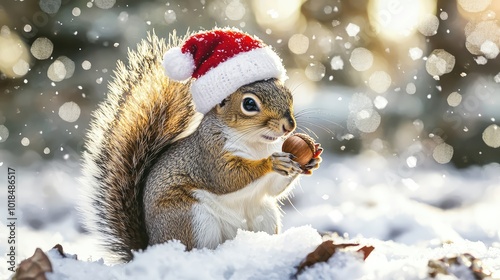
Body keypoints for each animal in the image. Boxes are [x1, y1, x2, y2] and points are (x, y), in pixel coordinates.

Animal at [80, 28, 322, 262]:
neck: (255, 143)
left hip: (264, 214)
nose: (288, 126)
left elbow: (274, 188)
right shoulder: (208, 155)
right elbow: (227, 178)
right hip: (191, 217)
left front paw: (312, 159)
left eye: (288, 94)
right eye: (249, 104)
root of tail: (150, 248)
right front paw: (271, 163)